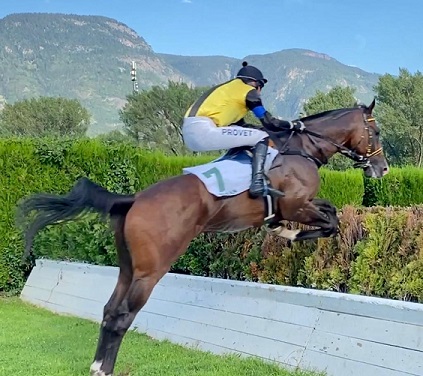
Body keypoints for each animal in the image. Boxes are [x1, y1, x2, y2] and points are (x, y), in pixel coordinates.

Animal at [18, 98, 390, 374]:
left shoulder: (303, 205)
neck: (301, 149)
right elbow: (330, 221)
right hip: (150, 271)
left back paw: (97, 365)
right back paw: (104, 369)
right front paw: (291, 233)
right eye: (376, 131)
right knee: (122, 316)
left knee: (110, 310)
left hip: (127, 268)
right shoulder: (297, 204)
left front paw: (283, 229)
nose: (383, 168)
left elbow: (331, 213)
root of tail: (134, 199)